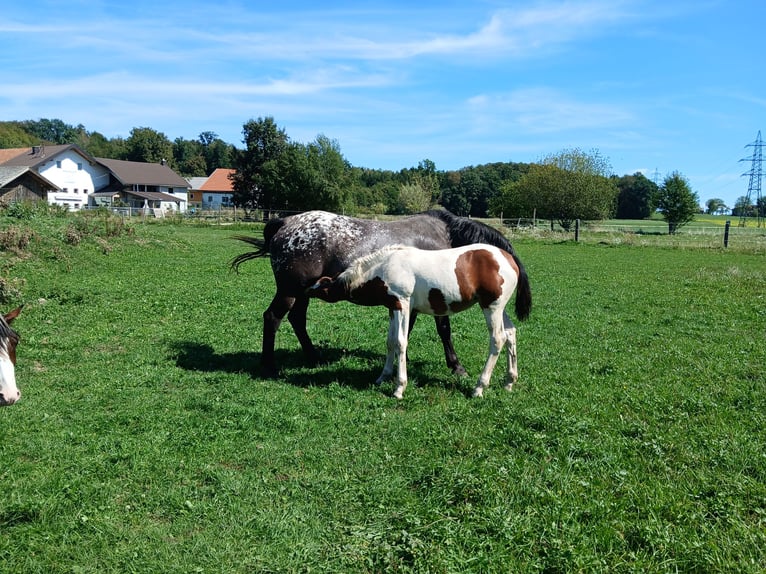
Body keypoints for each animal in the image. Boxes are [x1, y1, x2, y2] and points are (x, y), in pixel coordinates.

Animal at [232, 209, 530, 378]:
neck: (445, 239)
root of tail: (286, 223)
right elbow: (443, 331)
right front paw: (456, 366)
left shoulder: (410, 300)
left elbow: (405, 331)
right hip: (290, 291)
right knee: (272, 318)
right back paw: (269, 365)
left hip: (302, 293)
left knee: (296, 320)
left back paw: (314, 358)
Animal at [307, 244, 531, 398]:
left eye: (320, 287)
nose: (305, 290)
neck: (385, 266)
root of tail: (508, 257)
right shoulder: (392, 308)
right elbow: (390, 342)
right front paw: (383, 377)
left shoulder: (402, 305)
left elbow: (400, 342)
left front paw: (399, 387)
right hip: (499, 308)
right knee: (511, 334)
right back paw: (509, 381)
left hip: (491, 308)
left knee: (498, 339)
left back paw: (479, 387)